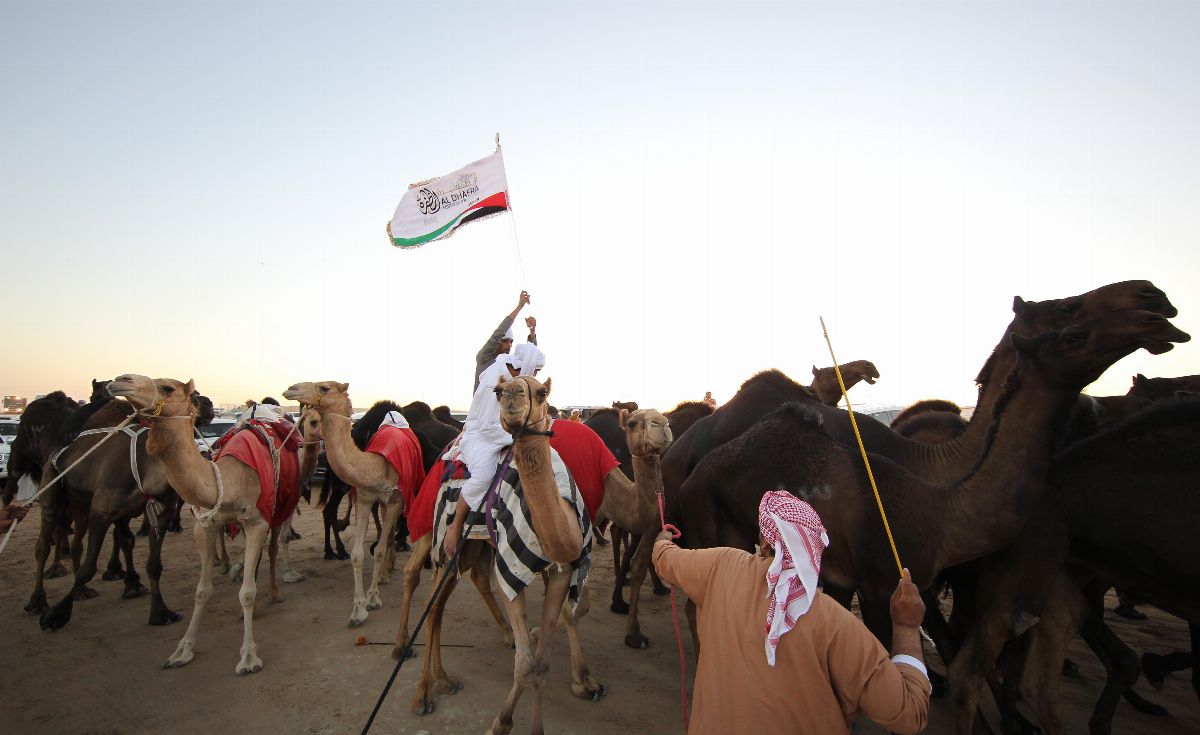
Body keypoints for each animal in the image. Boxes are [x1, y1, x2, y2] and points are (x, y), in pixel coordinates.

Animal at [105, 372, 316, 672]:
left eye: (167, 388)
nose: (121, 380)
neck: (229, 479)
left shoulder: (258, 522)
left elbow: (247, 592)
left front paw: (248, 656)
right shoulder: (204, 525)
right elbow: (202, 591)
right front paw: (182, 650)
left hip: (281, 504)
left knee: (274, 546)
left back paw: (274, 591)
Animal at [280, 381, 422, 629]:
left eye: (325, 387)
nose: (291, 388)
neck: (376, 465)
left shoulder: (396, 501)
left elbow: (379, 549)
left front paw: (373, 598)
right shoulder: (364, 499)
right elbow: (358, 555)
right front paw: (358, 608)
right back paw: (385, 572)